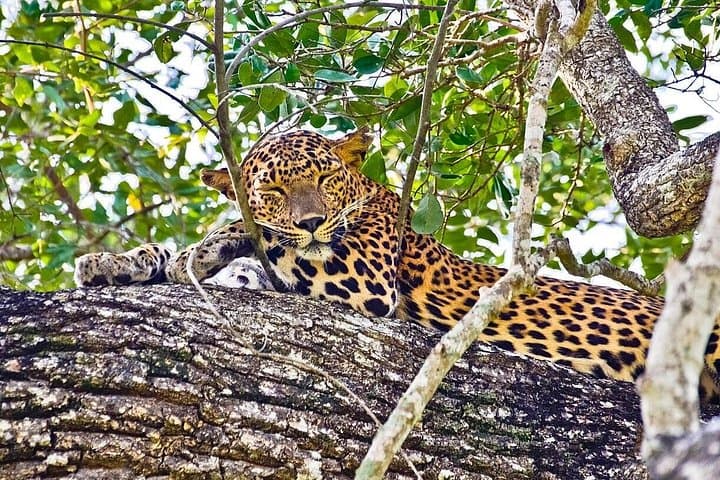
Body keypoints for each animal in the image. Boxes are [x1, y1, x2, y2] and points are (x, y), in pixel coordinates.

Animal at [74, 128, 720, 402]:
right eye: (275, 190)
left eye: (324, 179)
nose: (312, 221)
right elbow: (189, 256)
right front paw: (111, 263)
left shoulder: (360, 277)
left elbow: (253, 239)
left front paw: (215, 242)